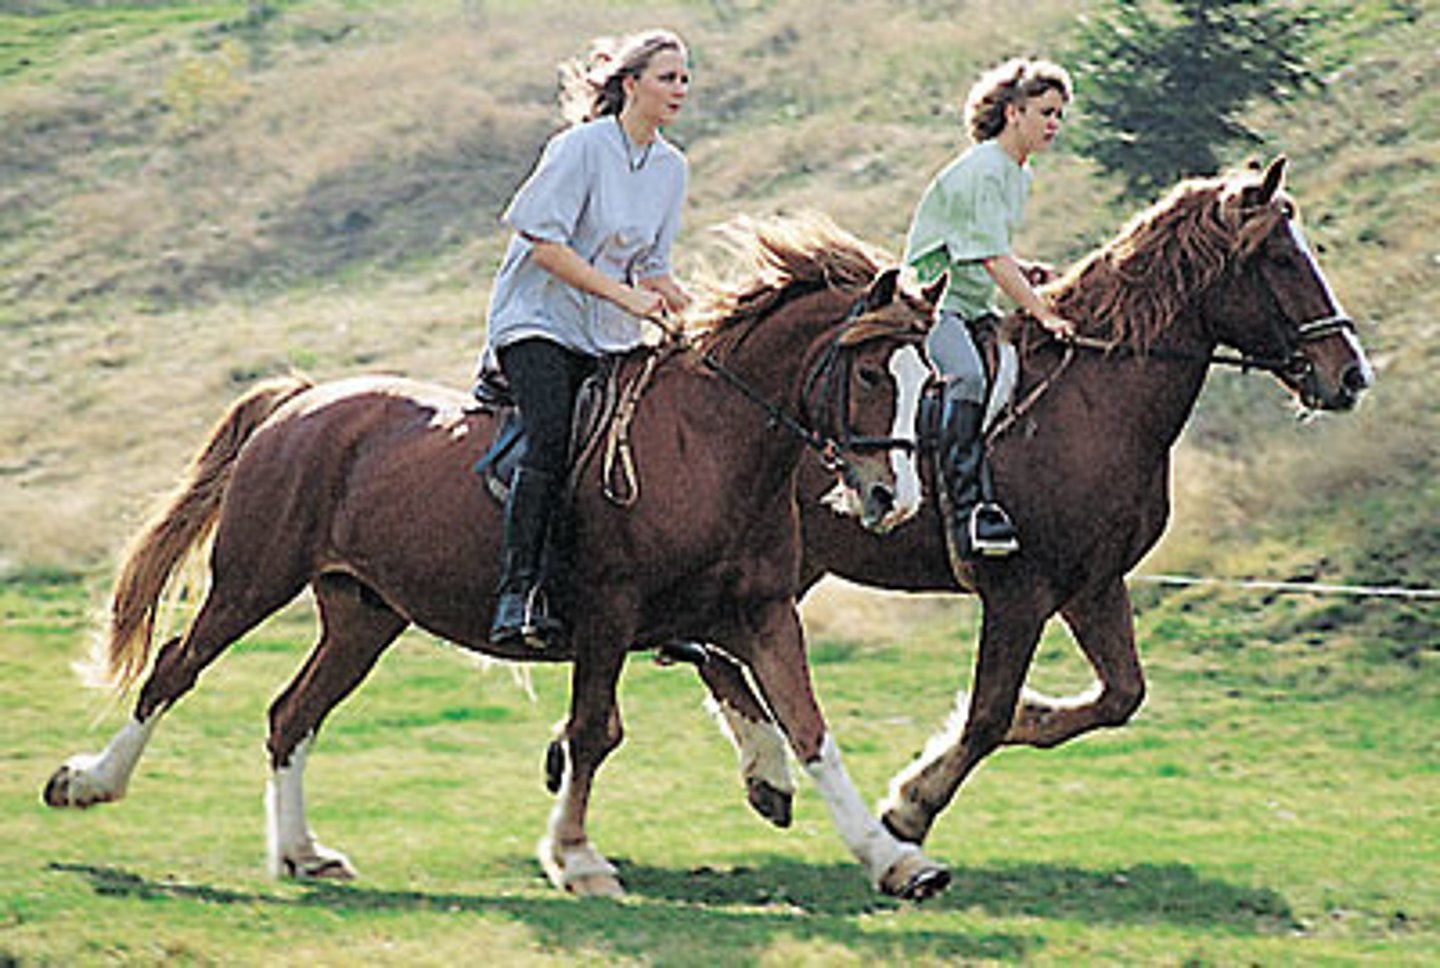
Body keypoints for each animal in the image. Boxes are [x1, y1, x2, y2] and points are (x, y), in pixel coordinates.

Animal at [41, 217, 953, 899]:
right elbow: (594, 732)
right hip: (253, 580)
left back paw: (302, 852)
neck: (709, 445)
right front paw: (576, 858)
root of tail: (301, 401)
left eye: (930, 381)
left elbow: (810, 732)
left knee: (290, 714)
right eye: (872, 374)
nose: (893, 498)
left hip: (363, 615)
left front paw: (896, 859)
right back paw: (88, 783)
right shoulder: (610, 611)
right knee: (174, 668)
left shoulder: (760, 614)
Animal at [689, 157, 1375, 843]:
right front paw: (912, 804)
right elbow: (989, 715)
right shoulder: (1019, 591)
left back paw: (767, 774)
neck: (1097, 398)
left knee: (712, 651)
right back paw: (769, 772)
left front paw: (1019, 717)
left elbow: (1117, 696)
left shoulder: (1093, 584)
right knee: (713, 652)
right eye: (1281, 258)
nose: (1350, 375)